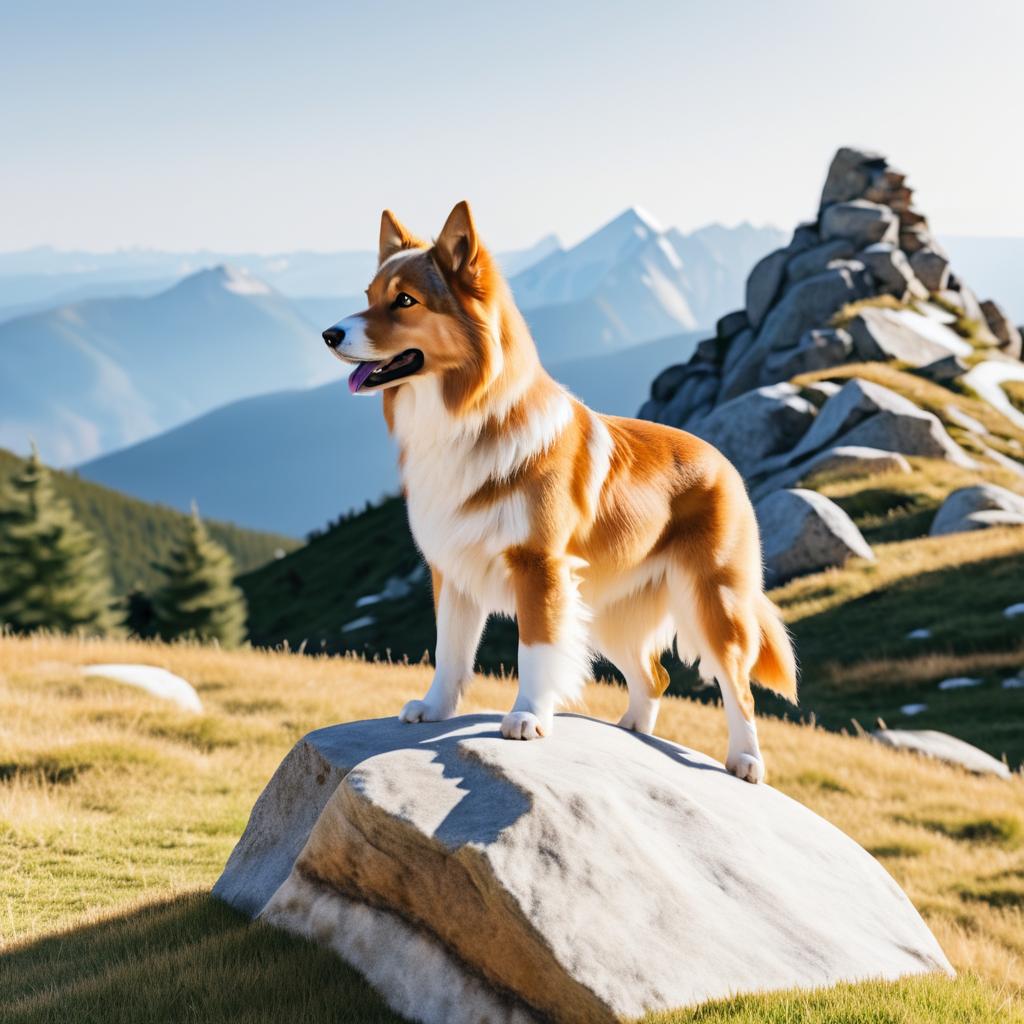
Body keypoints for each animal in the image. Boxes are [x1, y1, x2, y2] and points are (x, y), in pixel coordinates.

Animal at [323, 203, 794, 786]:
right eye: (369, 295)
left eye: (405, 300)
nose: (329, 334)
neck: (469, 421)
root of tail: (725, 462)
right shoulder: (453, 570)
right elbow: (449, 651)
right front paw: (434, 709)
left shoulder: (540, 566)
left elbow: (535, 648)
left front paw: (527, 717)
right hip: (609, 610)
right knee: (653, 676)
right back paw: (633, 731)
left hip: (712, 600)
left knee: (738, 686)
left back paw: (746, 760)